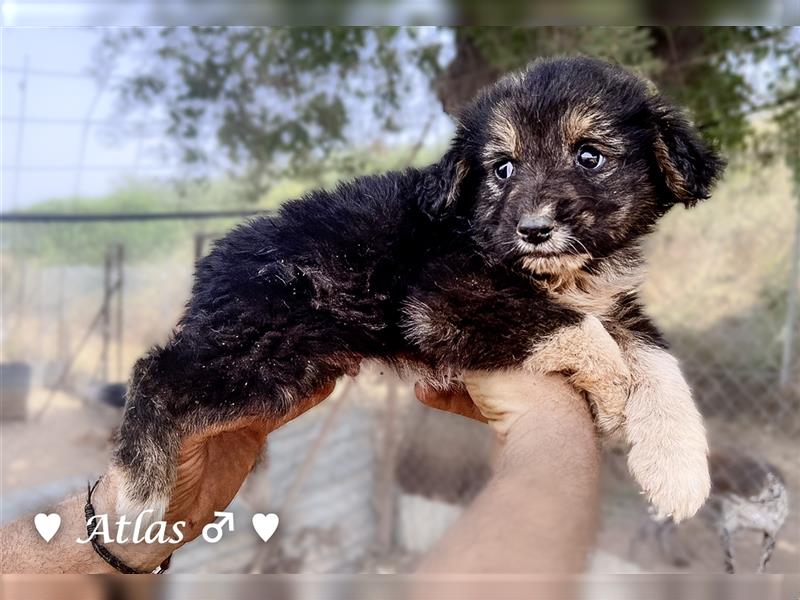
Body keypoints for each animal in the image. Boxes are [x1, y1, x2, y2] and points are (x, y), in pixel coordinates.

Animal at [114, 58, 724, 524]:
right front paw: (614, 395)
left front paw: (677, 471)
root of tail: (214, 264)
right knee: (154, 372)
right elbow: (578, 328)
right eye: (502, 169)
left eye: (589, 156)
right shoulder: (442, 301)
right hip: (265, 349)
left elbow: (658, 361)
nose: (533, 230)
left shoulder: (613, 303)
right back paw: (137, 489)